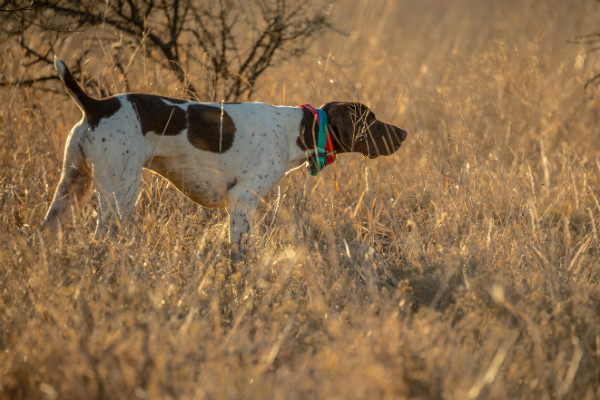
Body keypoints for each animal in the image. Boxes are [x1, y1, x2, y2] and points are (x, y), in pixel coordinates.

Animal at [41, 55, 408, 244]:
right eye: (371, 120)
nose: (404, 132)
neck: (298, 131)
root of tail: (97, 106)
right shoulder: (242, 199)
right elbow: (240, 251)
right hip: (120, 194)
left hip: (70, 187)